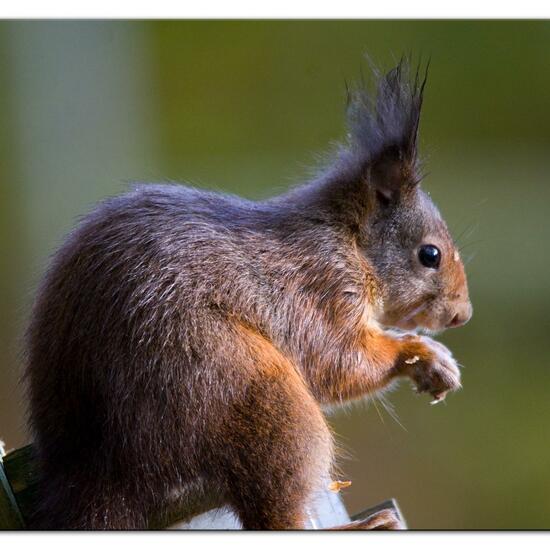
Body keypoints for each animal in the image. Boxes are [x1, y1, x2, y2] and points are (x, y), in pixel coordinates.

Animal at [23, 59, 474, 532]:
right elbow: (337, 362)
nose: (462, 314)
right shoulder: (318, 290)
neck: (347, 241)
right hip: (248, 390)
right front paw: (423, 354)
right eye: (430, 254)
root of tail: (103, 473)